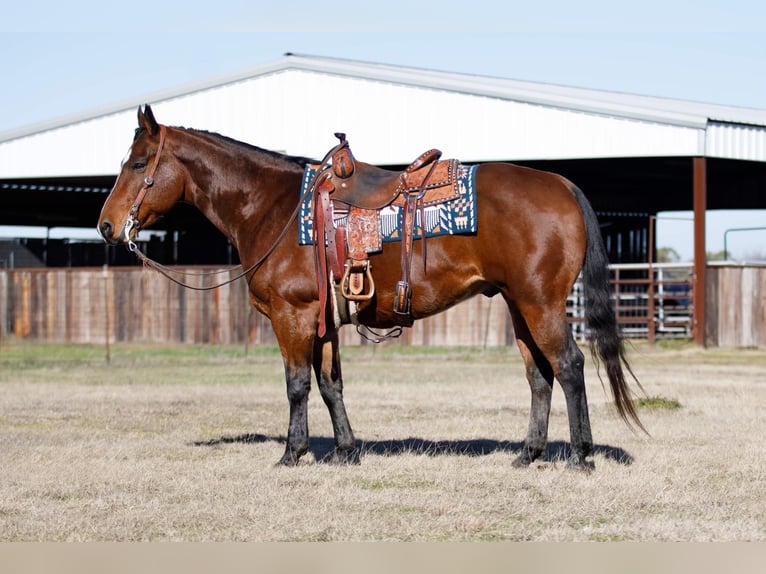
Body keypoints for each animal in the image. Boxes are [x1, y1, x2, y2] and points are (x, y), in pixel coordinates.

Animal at [97, 104, 648, 472]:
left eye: (139, 164)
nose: (105, 226)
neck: (272, 207)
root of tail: (562, 184)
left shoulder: (293, 315)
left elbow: (297, 384)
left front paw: (292, 453)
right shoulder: (322, 321)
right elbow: (329, 384)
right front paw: (346, 451)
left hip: (541, 303)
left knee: (569, 367)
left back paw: (580, 457)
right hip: (519, 305)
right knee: (539, 375)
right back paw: (528, 456)